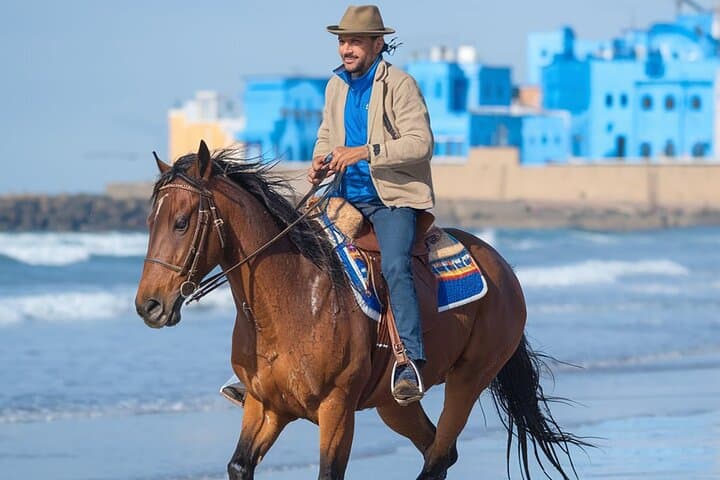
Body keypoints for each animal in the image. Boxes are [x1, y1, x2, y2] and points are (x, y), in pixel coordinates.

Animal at [135, 141, 586, 480]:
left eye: (181, 222)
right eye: (150, 222)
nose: (148, 305)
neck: (293, 298)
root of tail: (502, 268)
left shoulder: (336, 409)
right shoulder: (265, 406)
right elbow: (239, 465)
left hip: (469, 379)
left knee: (439, 455)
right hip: (393, 405)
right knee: (437, 452)